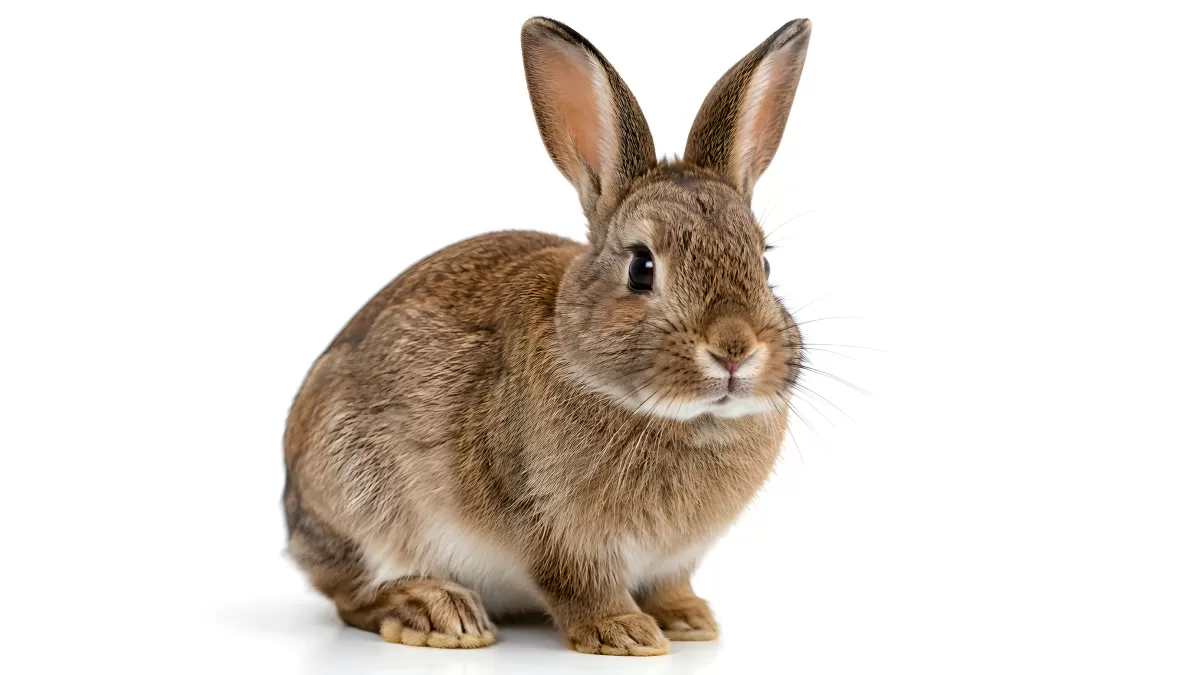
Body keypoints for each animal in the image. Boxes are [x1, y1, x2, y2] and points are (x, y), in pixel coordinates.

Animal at [283, 16, 812, 656]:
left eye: (764, 262)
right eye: (642, 267)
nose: (734, 350)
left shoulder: (674, 558)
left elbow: (670, 585)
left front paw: (689, 622)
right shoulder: (556, 532)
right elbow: (580, 586)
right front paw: (625, 634)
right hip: (359, 498)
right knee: (352, 595)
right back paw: (439, 612)